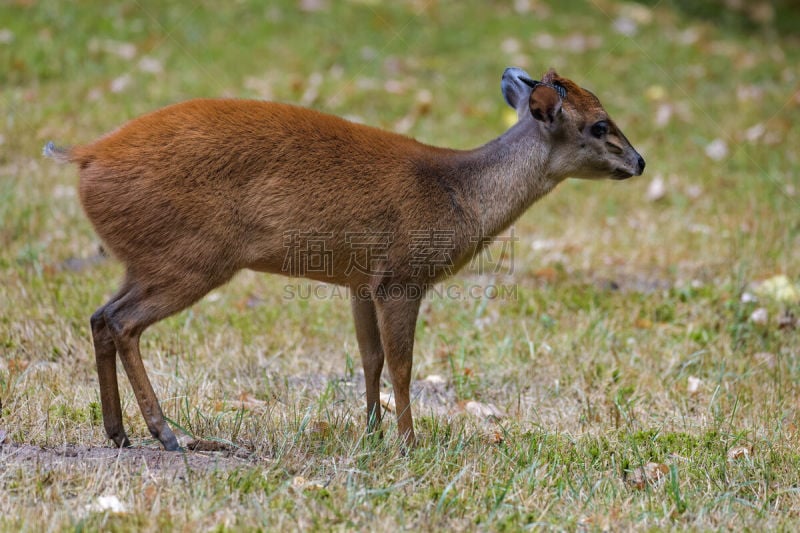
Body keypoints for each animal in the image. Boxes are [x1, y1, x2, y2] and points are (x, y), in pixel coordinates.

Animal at [42, 66, 644, 448]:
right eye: (599, 124)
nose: (639, 161)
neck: (459, 194)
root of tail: (85, 155)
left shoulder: (360, 281)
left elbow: (369, 358)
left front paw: (372, 434)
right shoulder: (401, 276)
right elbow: (402, 365)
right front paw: (408, 443)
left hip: (146, 259)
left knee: (99, 315)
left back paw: (118, 433)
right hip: (192, 258)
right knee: (123, 322)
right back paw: (168, 434)